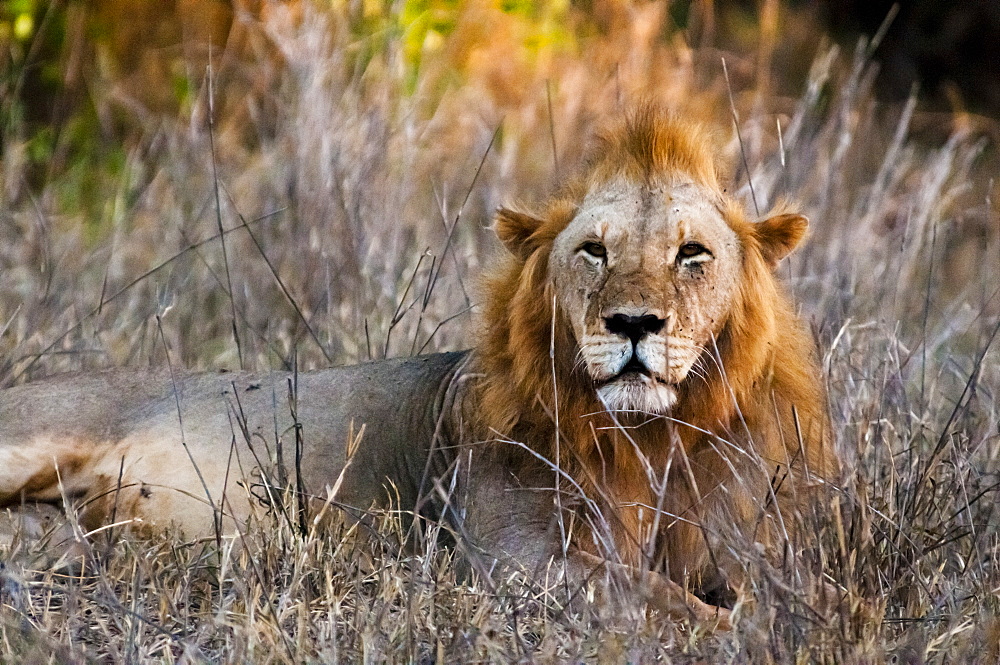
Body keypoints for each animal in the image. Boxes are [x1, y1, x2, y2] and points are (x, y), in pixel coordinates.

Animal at [0, 106, 836, 624]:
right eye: (593, 251)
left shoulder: (754, 546)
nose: (633, 323)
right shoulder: (515, 557)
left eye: (692, 253)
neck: (650, 438)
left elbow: (787, 601)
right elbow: (670, 602)